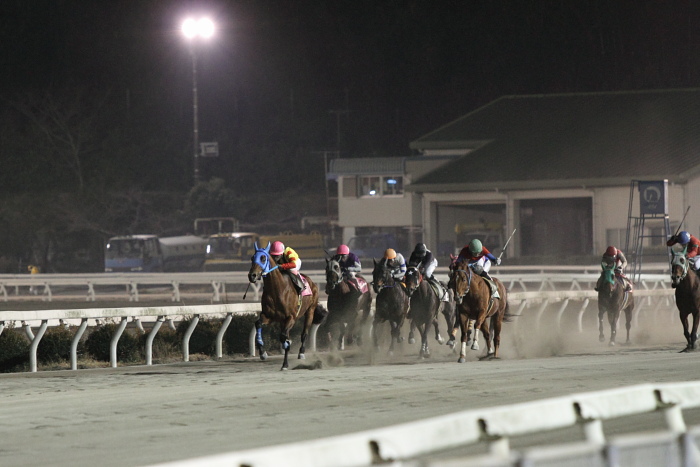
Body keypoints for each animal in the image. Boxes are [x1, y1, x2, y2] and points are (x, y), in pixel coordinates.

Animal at [249, 243, 320, 372]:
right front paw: (262, 353)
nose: (252, 275)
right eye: (252, 258)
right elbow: (258, 324)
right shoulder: (269, 316)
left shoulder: (291, 317)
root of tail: (310, 281)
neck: (277, 290)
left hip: (310, 311)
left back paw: (301, 353)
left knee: (304, 333)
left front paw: (286, 357)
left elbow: (283, 337)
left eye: (263, 258)